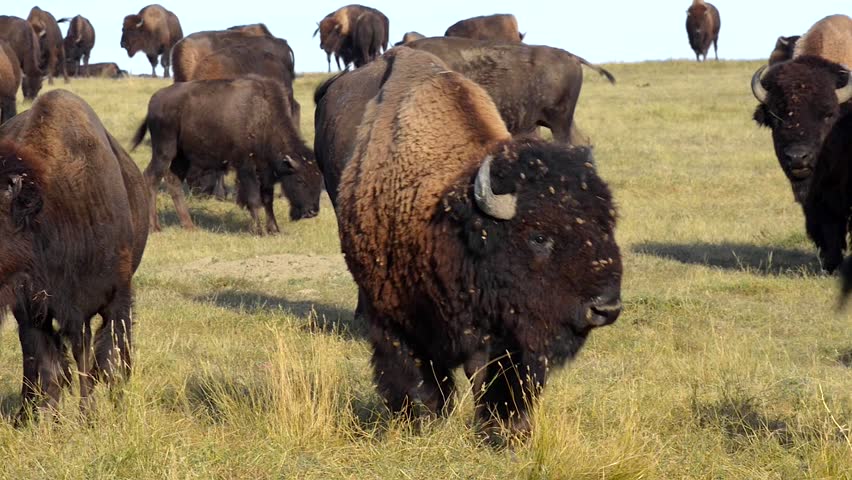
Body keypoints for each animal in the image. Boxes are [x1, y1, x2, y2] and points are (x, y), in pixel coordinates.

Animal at [0, 90, 149, 422]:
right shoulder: (33, 306)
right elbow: (47, 362)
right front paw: (48, 419)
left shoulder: (110, 299)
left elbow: (99, 355)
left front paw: (98, 413)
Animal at [132, 76, 320, 234]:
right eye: (300, 180)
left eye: (319, 181)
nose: (313, 211)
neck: (263, 117)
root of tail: (155, 100)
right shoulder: (246, 167)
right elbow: (254, 199)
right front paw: (259, 231)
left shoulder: (265, 171)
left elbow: (268, 200)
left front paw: (274, 230)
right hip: (164, 151)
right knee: (151, 178)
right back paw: (155, 227)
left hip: (182, 157)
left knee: (173, 181)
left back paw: (189, 226)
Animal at [328, 47, 622, 441]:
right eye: (538, 236)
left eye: (607, 225)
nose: (605, 308)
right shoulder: (394, 316)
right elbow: (415, 372)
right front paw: (422, 420)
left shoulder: (507, 333)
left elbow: (498, 377)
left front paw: (509, 431)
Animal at [751, 14, 852, 273]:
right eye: (776, 116)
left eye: (828, 114)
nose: (798, 158)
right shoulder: (817, 195)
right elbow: (826, 224)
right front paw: (831, 264)